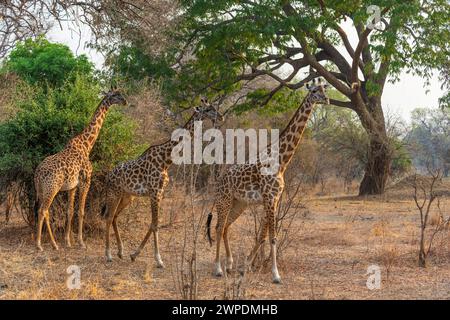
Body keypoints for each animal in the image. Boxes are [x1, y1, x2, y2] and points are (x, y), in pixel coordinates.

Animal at [33, 87, 126, 250]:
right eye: (116, 95)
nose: (125, 101)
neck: (86, 145)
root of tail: (38, 174)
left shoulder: (72, 186)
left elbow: (70, 211)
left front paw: (68, 241)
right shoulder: (85, 181)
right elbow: (81, 211)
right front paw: (81, 242)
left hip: (43, 190)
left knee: (45, 211)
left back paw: (54, 244)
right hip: (52, 188)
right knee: (42, 210)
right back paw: (40, 244)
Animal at [101, 99, 221, 264]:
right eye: (208, 109)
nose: (220, 117)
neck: (166, 160)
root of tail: (108, 176)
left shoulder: (160, 193)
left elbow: (153, 224)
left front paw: (135, 254)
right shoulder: (155, 193)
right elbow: (155, 225)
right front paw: (158, 260)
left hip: (127, 196)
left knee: (114, 217)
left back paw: (120, 251)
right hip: (114, 193)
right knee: (108, 217)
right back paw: (108, 255)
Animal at [206, 80, 328, 282]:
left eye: (325, 89)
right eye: (314, 91)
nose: (326, 99)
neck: (282, 161)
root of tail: (220, 180)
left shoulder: (275, 199)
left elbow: (262, 236)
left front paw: (246, 266)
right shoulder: (269, 198)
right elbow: (272, 237)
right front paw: (276, 274)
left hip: (239, 203)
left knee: (226, 227)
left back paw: (230, 264)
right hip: (224, 200)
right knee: (218, 227)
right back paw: (218, 269)